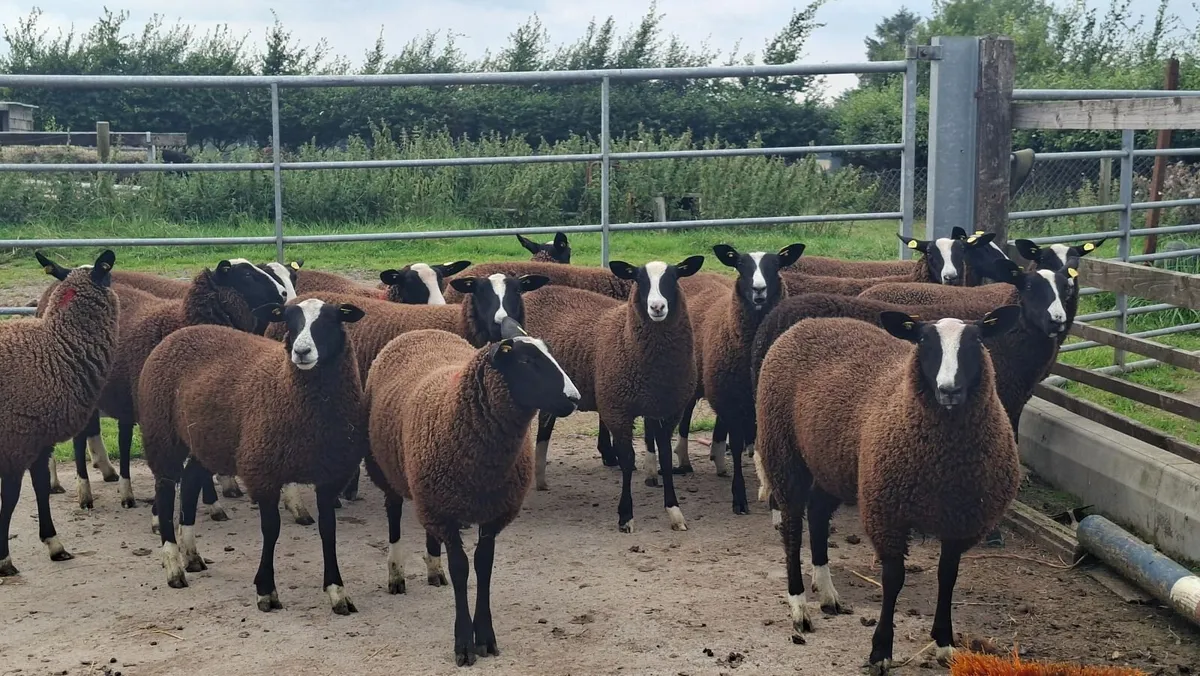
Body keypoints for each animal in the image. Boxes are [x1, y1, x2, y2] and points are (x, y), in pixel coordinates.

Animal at [1, 251, 119, 577]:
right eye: (109, 275)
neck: (56, 349)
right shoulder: (16, 441)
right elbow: (11, 498)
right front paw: (4, 560)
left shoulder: (40, 440)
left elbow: (41, 488)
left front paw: (54, 544)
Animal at [139, 299, 369, 614]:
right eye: (289, 321)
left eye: (331, 320)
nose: (301, 352)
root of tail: (179, 334)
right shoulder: (264, 471)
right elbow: (271, 530)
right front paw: (266, 591)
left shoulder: (330, 476)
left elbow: (328, 531)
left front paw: (337, 592)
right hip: (162, 434)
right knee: (164, 493)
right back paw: (174, 567)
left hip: (209, 440)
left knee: (189, 482)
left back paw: (192, 556)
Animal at [363, 318, 580, 665]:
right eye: (527, 361)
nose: (574, 398)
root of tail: (420, 330)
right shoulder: (446, 514)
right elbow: (462, 569)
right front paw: (464, 643)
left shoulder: (490, 513)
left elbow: (484, 566)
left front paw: (486, 638)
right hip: (385, 468)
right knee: (393, 512)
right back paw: (396, 574)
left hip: (429, 492)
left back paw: (433, 569)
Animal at [522, 257, 703, 532]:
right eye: (639, 279)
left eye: (674, 278)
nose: (657, 307)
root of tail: (537, 292)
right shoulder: (617, 409)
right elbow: (627, 459)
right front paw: (625, 516)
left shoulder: (668, 410)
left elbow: (665, 459)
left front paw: (674, 512)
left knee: (545, 424)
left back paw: (540, 478)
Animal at [754, 306, 1022, 673]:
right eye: (923, 341)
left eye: (978, 340)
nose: (949, 389)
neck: (945, 465)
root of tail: (807, 323)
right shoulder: (887, 514)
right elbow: (893, 580)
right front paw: (880, 650)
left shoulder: (959, 522)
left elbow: (948, 577)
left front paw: (944, 644)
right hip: (784, 450)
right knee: (793, 528)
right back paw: (799, 607)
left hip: (833, 463)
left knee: (819, 514)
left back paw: (827, 592)